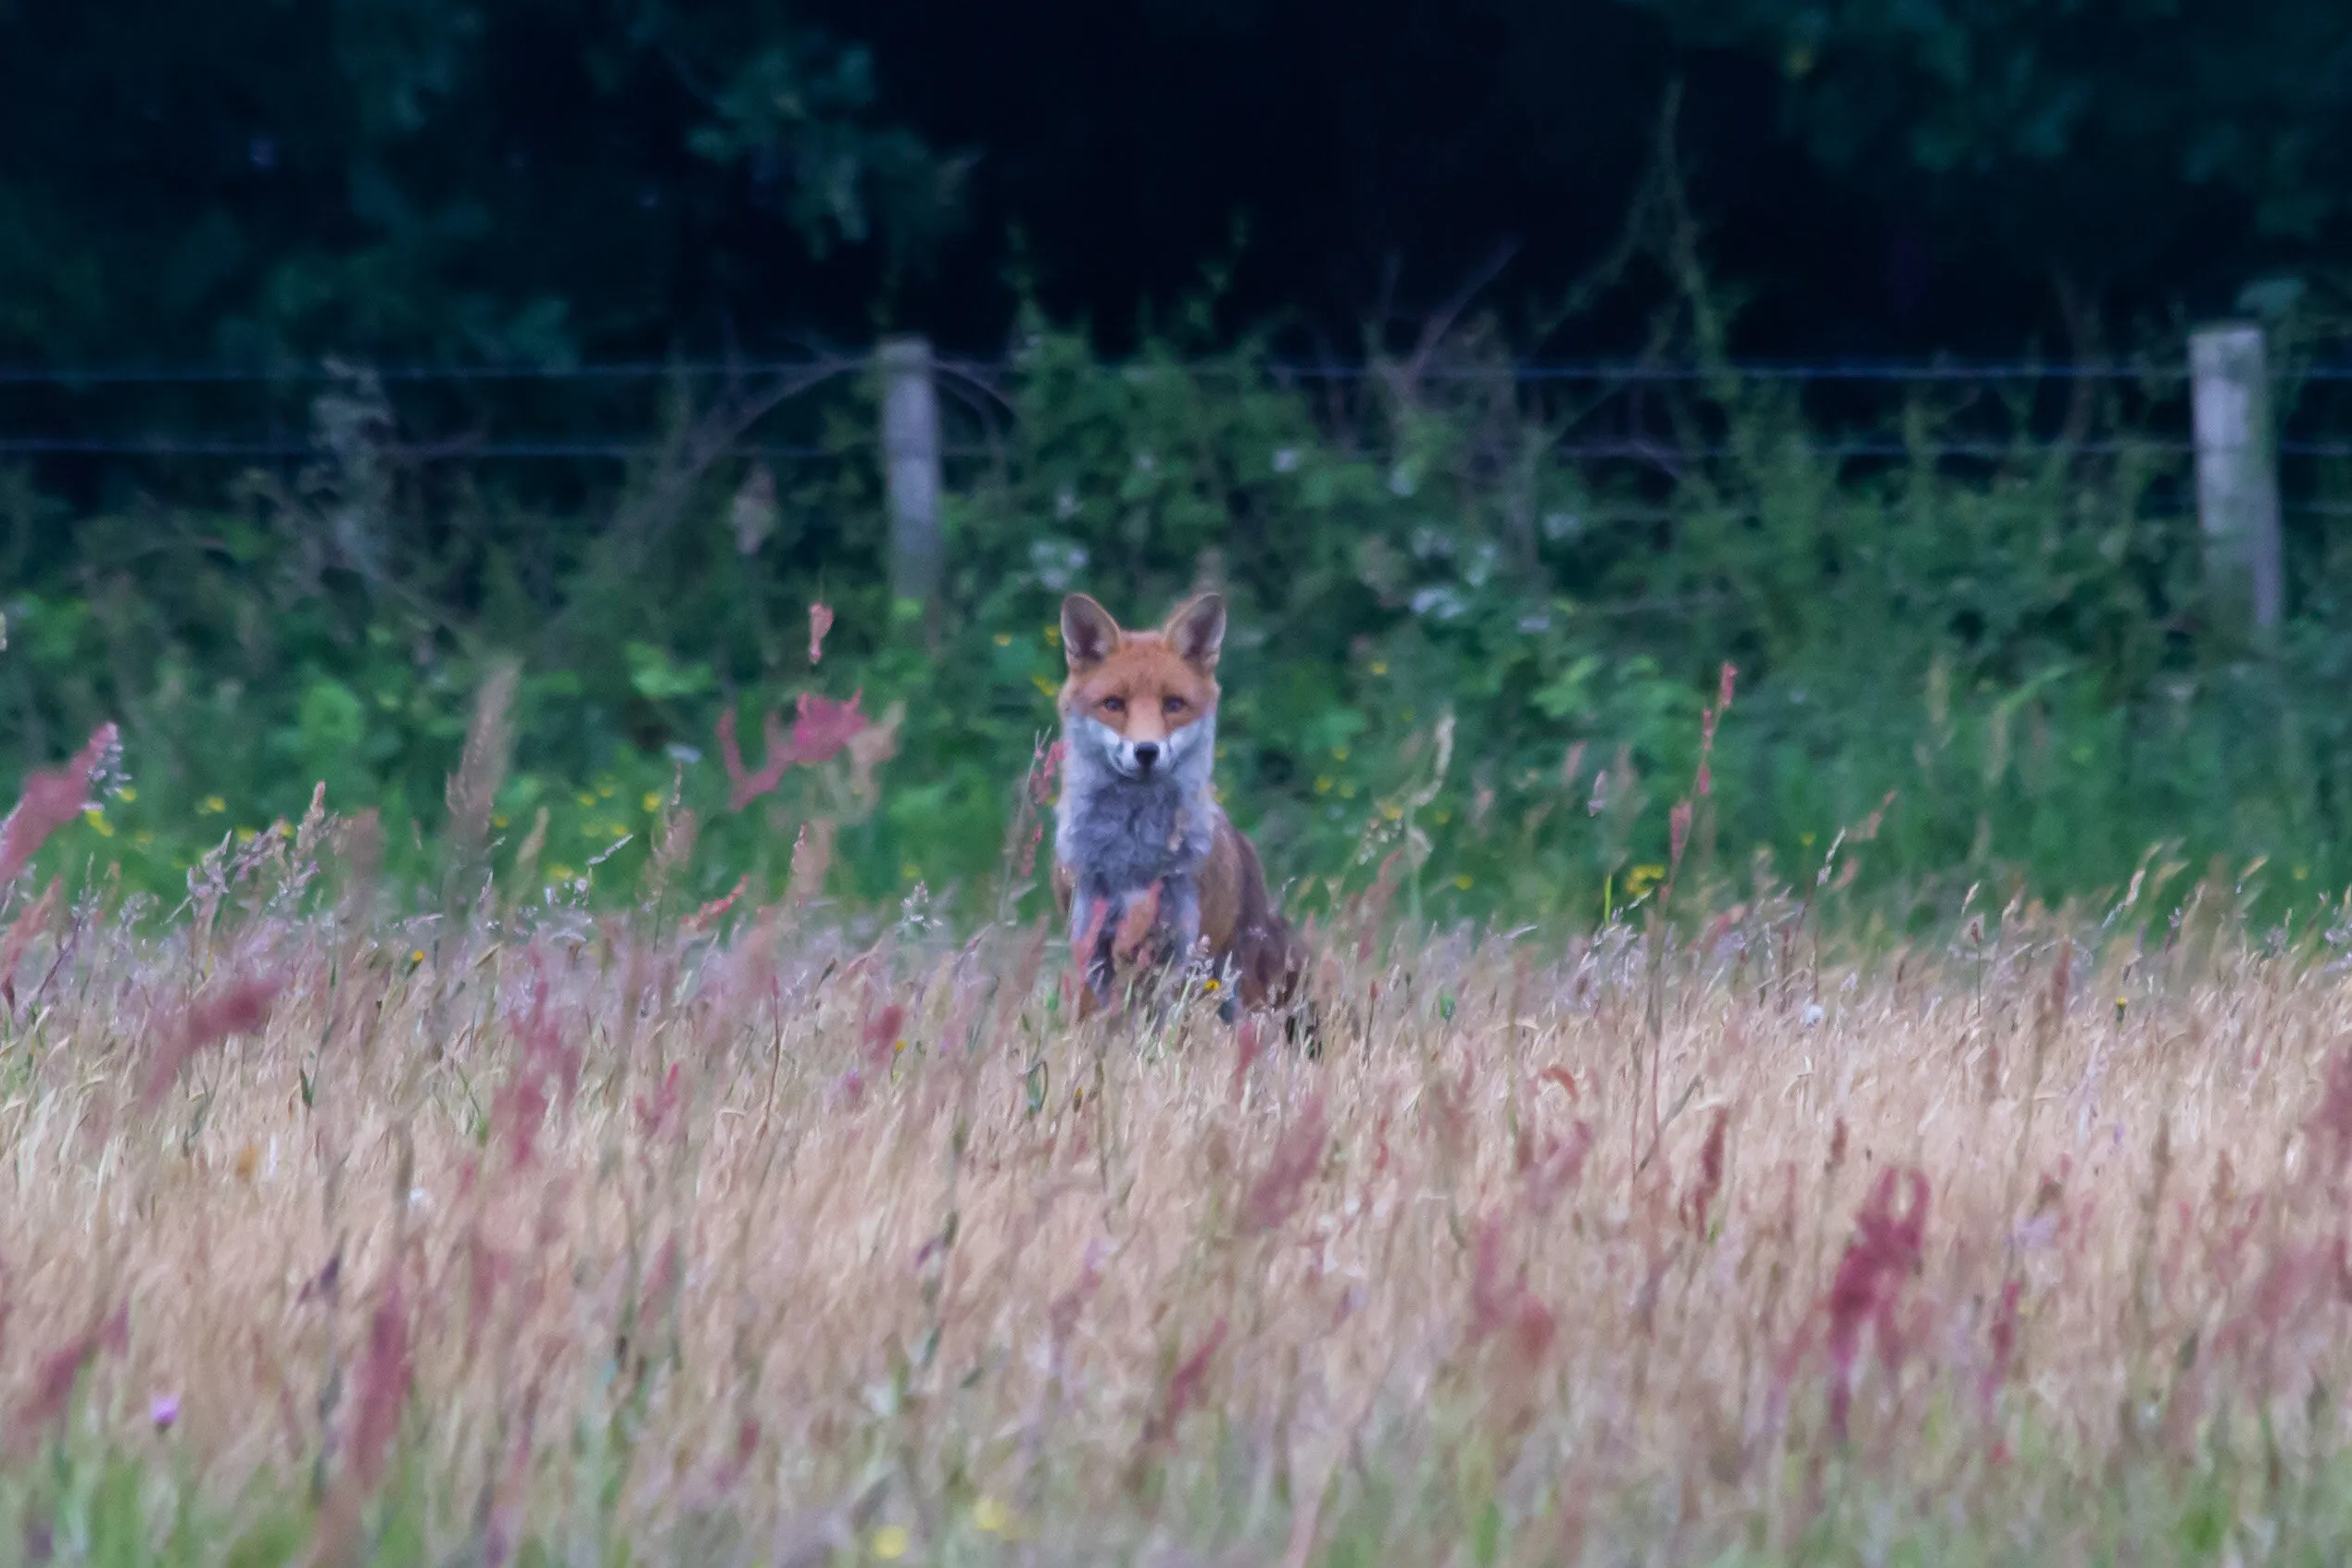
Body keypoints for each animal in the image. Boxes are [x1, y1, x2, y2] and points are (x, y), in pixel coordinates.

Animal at [1051, 590, 1303, 1021]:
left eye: (1173, 704)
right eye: (1113, 704)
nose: (1146, 751)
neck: (1134, 855)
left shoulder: (1179, 952)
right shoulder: (1092, 947)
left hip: (1235, 986)